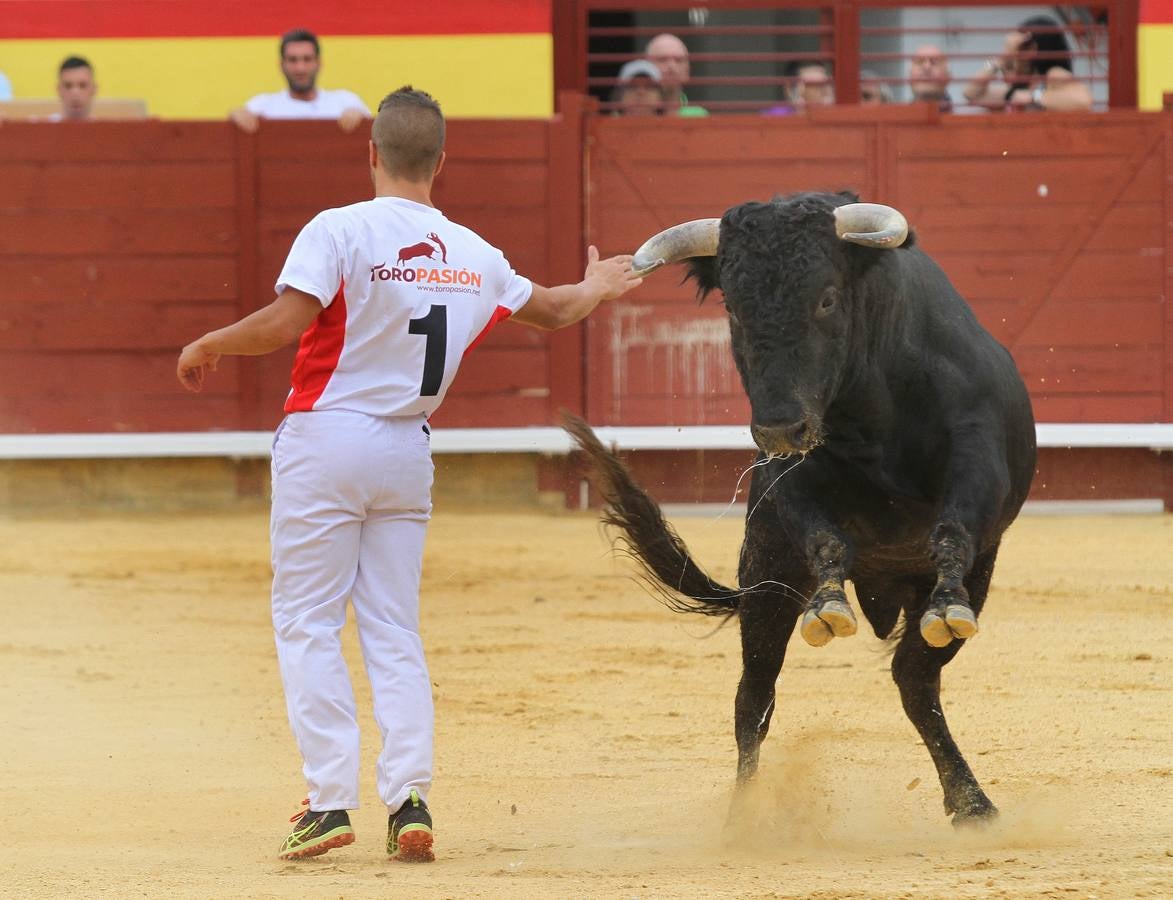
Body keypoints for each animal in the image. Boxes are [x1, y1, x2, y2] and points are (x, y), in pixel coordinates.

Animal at [567, 193, 1036, 826]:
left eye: (827, 298)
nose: (778, 427)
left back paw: (971, 801)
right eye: (734, 309)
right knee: (755, 696)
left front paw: (947, 604)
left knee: (914, 677)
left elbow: (953, 530)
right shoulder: (790, 484)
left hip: (972, 576)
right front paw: (830, 603)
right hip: (766, 572)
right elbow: (825, 538)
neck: (869, 408)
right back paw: (745, 816)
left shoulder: (978, 455)